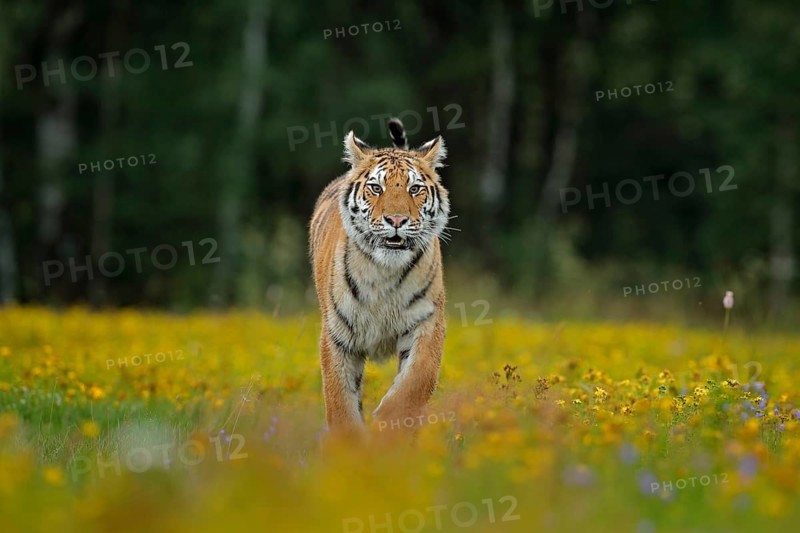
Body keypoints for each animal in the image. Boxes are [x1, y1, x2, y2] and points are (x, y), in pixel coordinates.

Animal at [309, 118, 450, 436]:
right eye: (375, 187)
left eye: (415, 189)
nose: (396, 220)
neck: (384, 271)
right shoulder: (337, 336)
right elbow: (340, 401)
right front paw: (350, 444)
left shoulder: (427, 323)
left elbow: (413, 384)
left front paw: (389, 428)